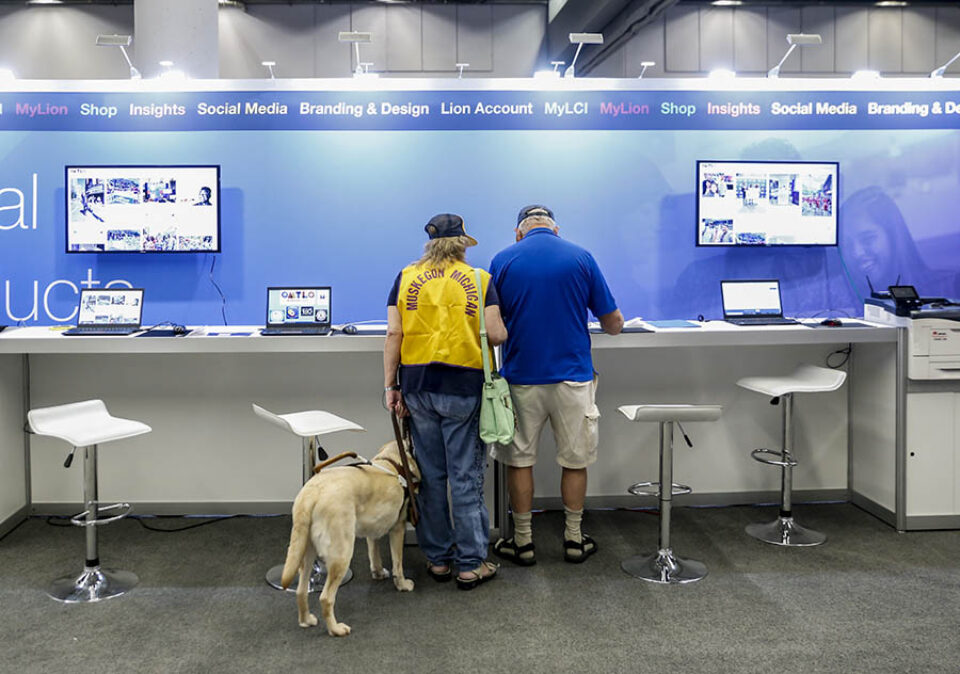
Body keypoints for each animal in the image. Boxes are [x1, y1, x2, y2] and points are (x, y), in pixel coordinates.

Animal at [280, 438, 418, 632]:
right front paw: (403, 585)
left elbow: (374, 554)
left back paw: (306, 620)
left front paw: (378, 572)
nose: (407, 439)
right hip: (342, 554)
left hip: (305, 552)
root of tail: (312, 493)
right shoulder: (398, 528)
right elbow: (398, 564)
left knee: (301, 590)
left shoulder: (372, 530)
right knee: (326, 598)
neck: (391, 463)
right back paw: (336, 629)